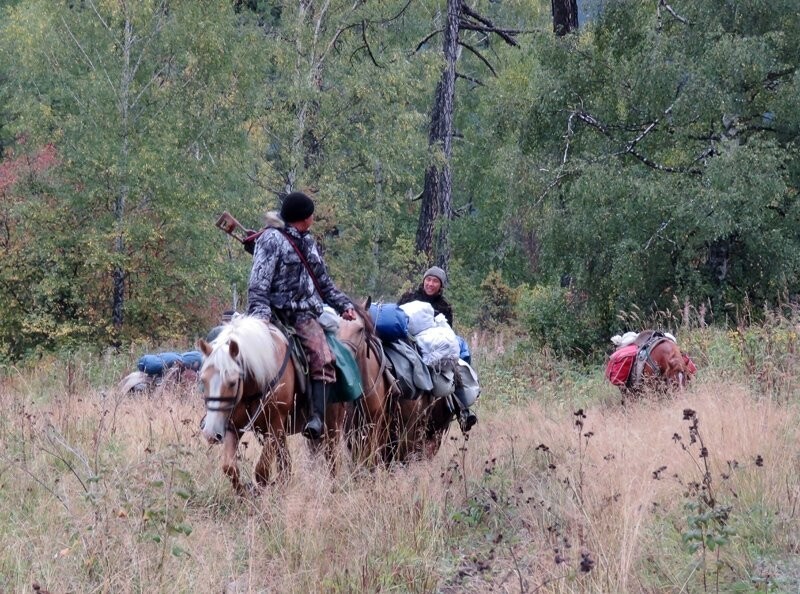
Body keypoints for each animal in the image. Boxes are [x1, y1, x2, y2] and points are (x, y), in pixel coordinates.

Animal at [198, 312, 346, 492]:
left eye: (232, 382)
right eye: (203, 380)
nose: (211, 433)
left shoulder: (274, 427)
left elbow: (261, 471)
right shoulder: (233, 427)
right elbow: (229, 467)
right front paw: (244, 494)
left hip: (331, 427)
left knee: (332, 461)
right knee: (286, 466)